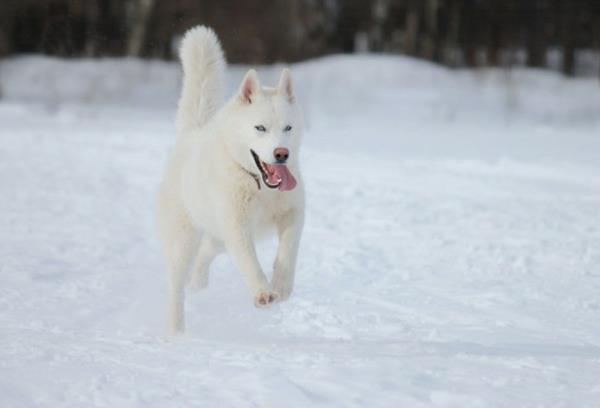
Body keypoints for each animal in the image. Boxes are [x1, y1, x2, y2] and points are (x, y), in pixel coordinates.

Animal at [157, 25, 304, 334]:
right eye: (260, 128)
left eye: (288, 128)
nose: (282, 154)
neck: (259, 186)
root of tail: (190, 134)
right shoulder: (237, 227)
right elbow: (249, 262)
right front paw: (263, 293)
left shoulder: (294, 213)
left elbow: (288, 250)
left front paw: (282, 287)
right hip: (183, 240)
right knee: (176, 285)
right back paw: (176, 330)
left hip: (216, 235)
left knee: (205, 253)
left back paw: (198, 280)